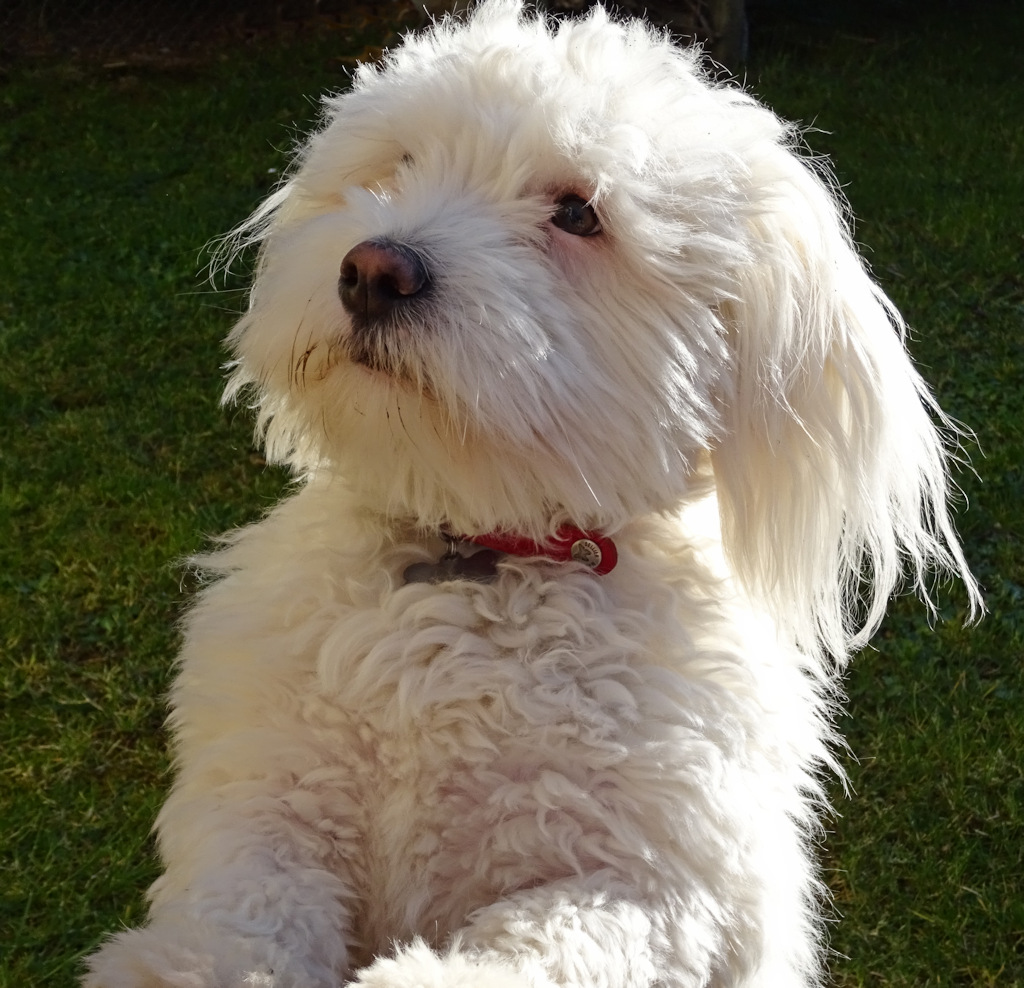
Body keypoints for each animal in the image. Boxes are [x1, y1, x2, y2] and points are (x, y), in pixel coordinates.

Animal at [83, 1, 978, 986]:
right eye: (397, 165)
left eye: (578, 214)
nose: (373, 270)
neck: (479, 557)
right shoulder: (261, 803)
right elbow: (236, 919)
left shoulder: (655, 888)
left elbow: (536, 946)